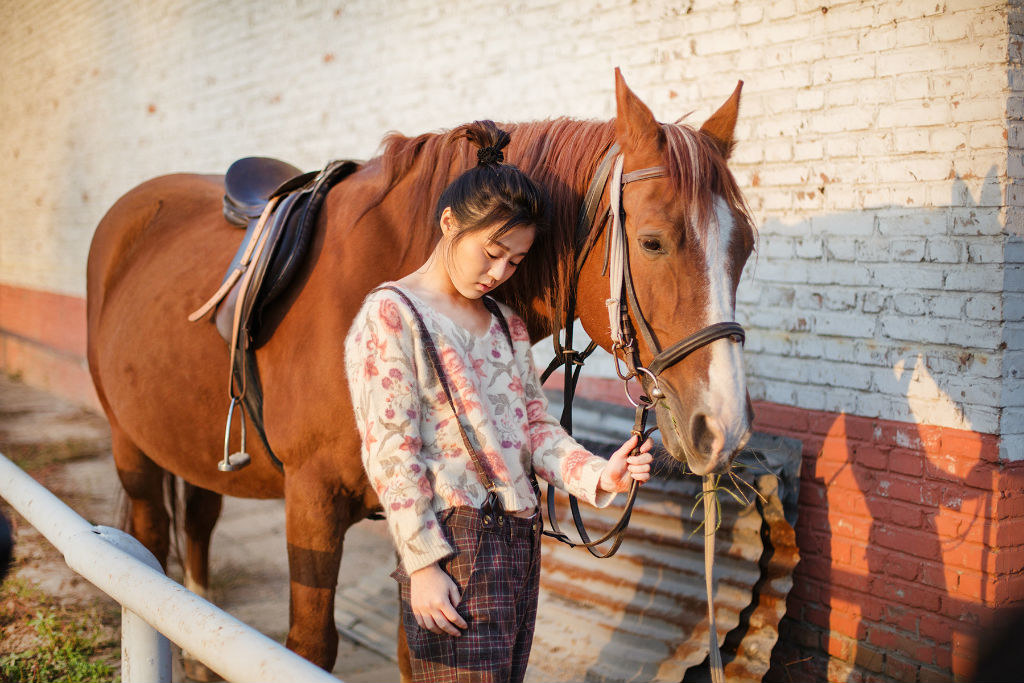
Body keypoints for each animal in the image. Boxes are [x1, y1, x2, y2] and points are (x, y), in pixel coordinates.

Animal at [88, 70, 757, 671]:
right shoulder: (312, 500)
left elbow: (415, 650)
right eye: (652, 242)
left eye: (745, 247)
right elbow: (310, 645)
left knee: (197, 527)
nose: (724, 429)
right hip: (131, 446)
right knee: (149, 544)